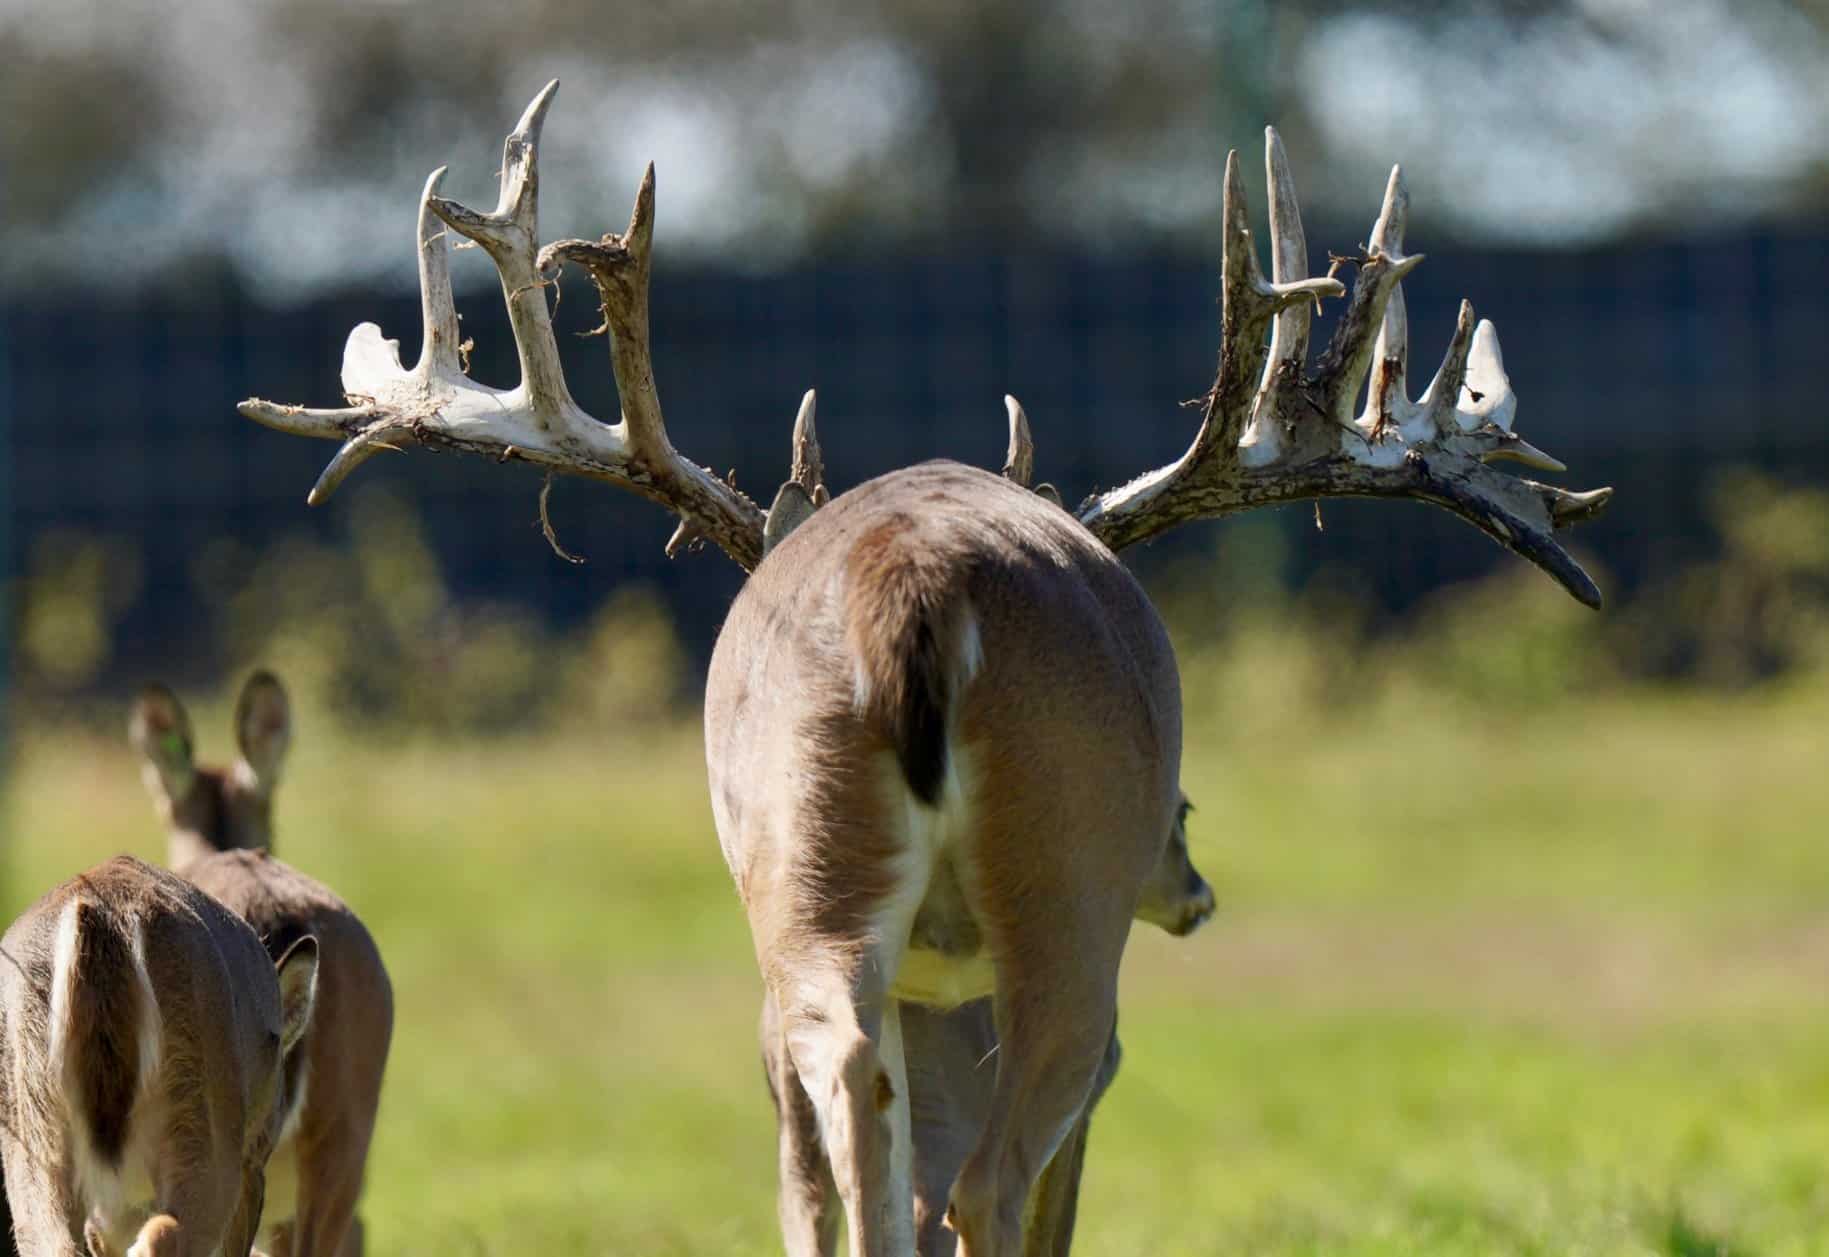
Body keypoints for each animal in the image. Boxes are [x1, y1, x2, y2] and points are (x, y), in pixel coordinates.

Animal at [0, 856, 318, 1257]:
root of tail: (99, 913)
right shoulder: (253, 1159)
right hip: (206, 1125)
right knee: (167, 1233)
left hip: (32, 1129)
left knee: (54, 1240)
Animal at [237, 81, 1612, 1256]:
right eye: (1186, 799)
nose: (1196, 890)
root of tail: (920, 576)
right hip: (1065, 899)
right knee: (982, 1174)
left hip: (810, 881)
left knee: (845, 1115)